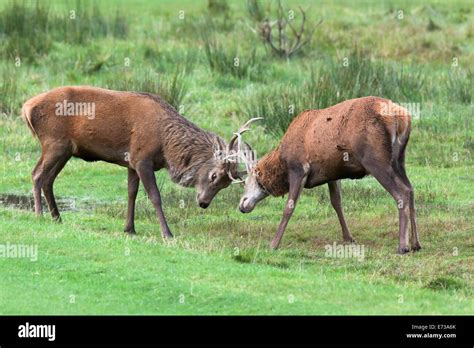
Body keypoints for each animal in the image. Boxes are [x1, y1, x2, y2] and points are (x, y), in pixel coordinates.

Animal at [21, 86, 260, 239]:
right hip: (54, 143)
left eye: (225, 185)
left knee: (49, 179)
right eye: (214, 176)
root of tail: (26, 108)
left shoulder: (131, 162)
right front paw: (167, 233)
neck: (165, 145)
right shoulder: (142, 158)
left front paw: (129, 228)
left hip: (65, 150)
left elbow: (131, 193)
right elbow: (154, 196)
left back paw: (57, 217)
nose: (203, 203)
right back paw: (39, 215)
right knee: (37, 174)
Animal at [239, 96, 420, 254]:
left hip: (375, 159)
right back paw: (416, 244)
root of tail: (402, 118)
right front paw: (348, 238)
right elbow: (336, 202)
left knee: (402, 192)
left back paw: (403, 246)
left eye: (246, 181)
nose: (242, 204)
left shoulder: (299, 169)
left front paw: (273, 244)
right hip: (399, 159)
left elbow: (289, 207)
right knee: (411, 189)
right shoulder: (332, 174)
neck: (282, 160)